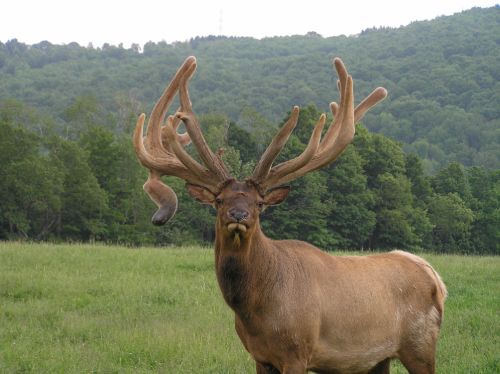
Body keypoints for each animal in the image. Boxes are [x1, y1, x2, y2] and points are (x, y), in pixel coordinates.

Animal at [132, 56, 446, 374]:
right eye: (219, 200)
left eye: (259, 203)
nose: (238, 214)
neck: (256, 311)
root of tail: (435, 278)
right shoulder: (260, 356)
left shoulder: (297, 351)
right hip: (378, 360)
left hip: (420, 343)